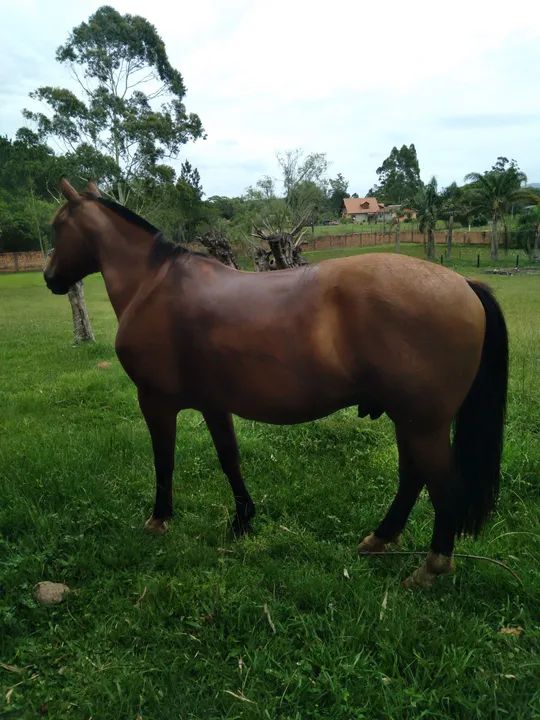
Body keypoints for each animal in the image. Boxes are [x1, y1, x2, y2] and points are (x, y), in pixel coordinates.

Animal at [44, 180, 508, 588]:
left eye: (56, 227)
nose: (50, 278)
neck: (153, 284)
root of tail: (463, 284)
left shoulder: (155, 401)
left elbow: (164, 461)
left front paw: (160, 519)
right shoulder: (213, 403)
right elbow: (229, 459)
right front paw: (242, 519)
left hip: (423, 425)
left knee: (442, 489)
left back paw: (429, 569)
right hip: (409, 421)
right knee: (412, 478)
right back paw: (379, 539)